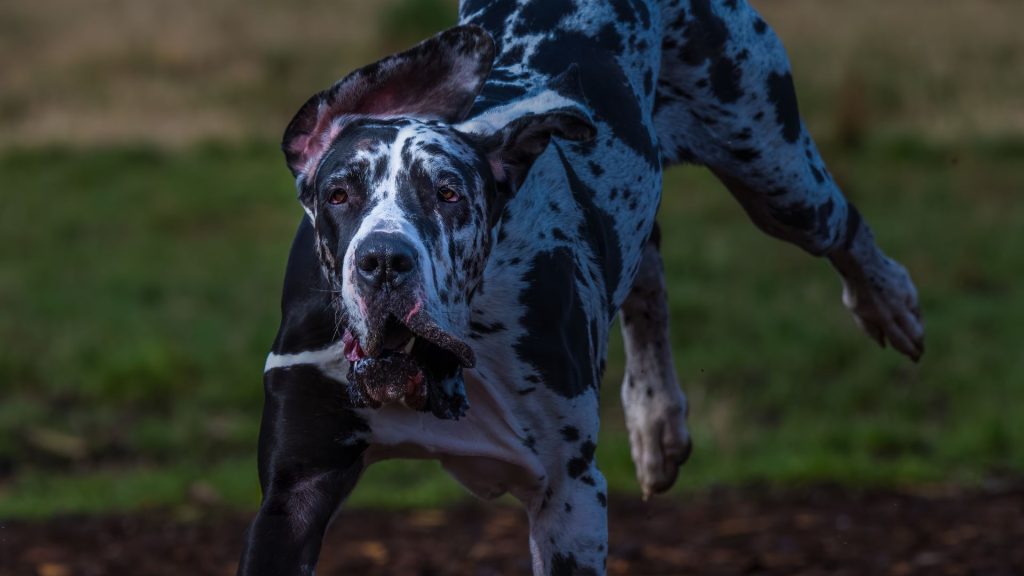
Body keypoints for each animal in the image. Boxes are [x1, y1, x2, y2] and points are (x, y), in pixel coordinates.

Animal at [235, 2, 925, 569]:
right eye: (339, 194)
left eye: (449, 193)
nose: (382, 260)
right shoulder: (294, 491)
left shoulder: (569, 499)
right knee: (647, 275)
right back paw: (655, 418)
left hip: (775, 173)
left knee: (840, 223)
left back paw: (888, 301)